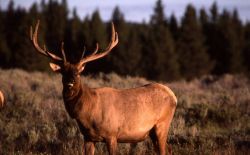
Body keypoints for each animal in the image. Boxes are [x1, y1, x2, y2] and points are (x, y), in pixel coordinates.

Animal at [30, 20, 177, 154]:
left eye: (78, 73)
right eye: (63, 72)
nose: (70, 82)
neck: (87, 114)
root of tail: (174, 96)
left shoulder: (112, 134)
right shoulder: (88, 137)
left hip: (162, 124)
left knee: (164, 150)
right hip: (153, 132)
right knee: (168, 149)